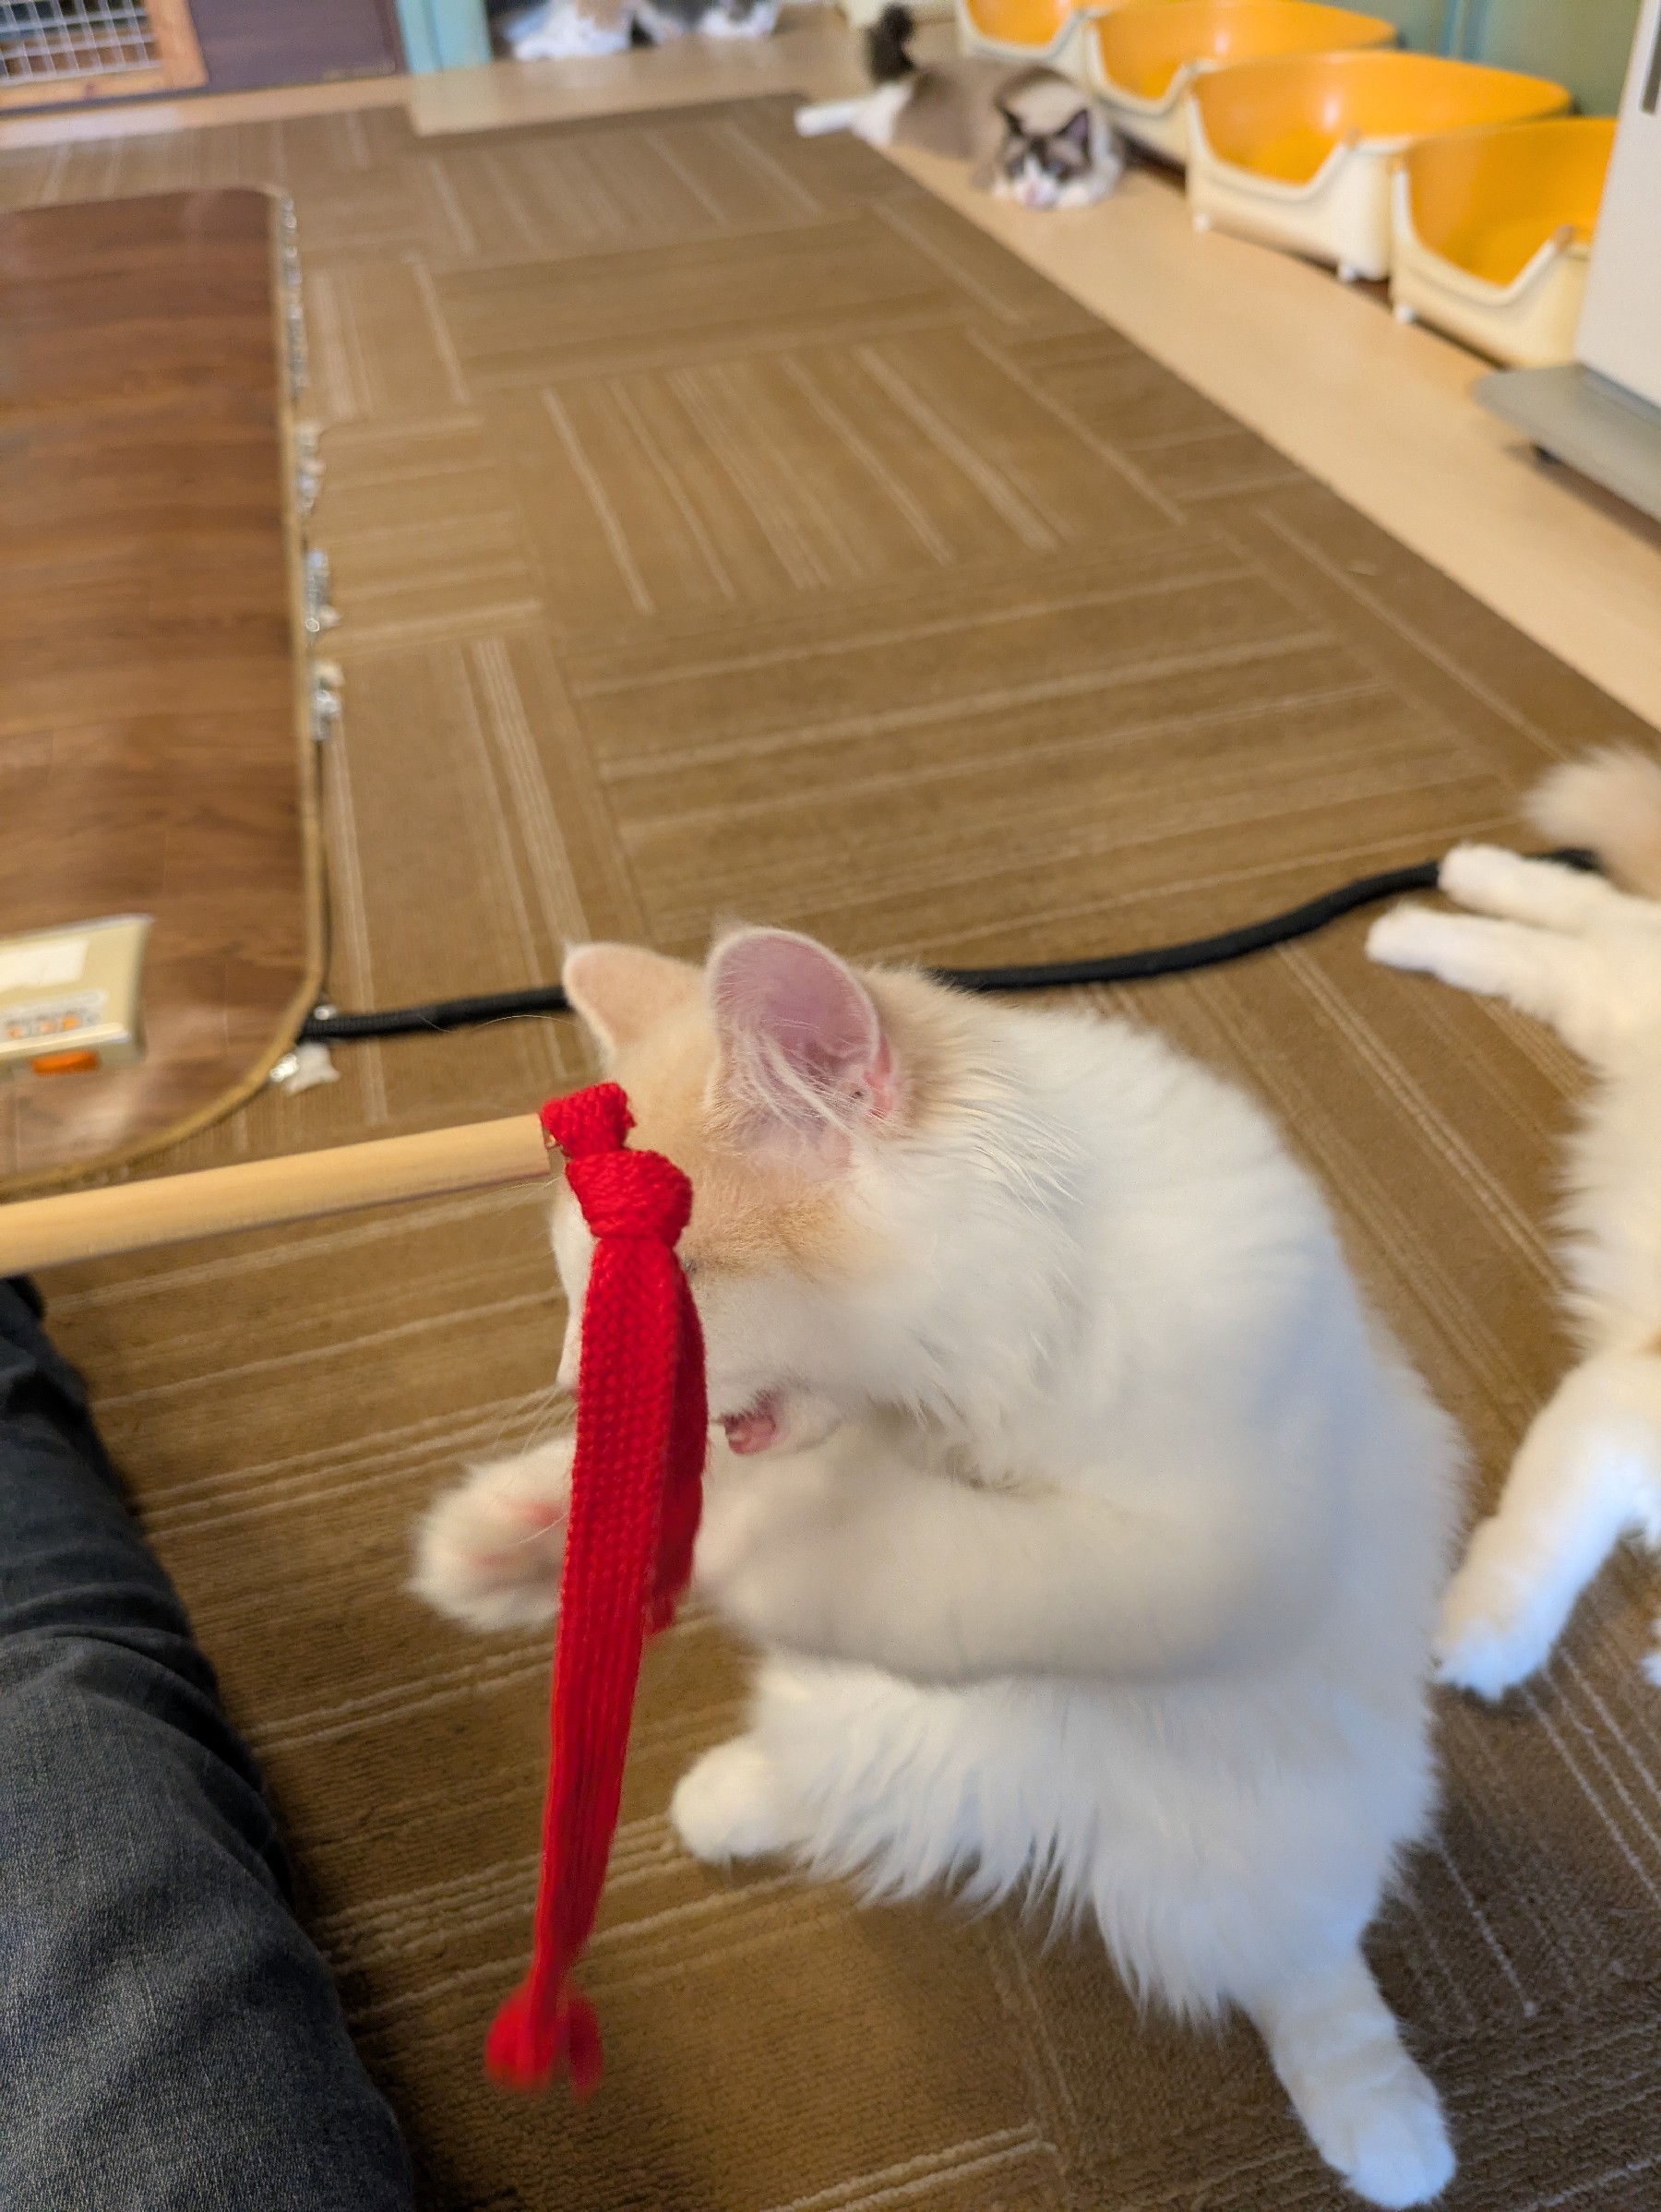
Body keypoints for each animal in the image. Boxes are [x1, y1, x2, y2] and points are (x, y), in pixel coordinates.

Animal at [414, 923, 1461, 2203]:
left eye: (678, 1279)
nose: (570, 1377)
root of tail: (1042, 1798)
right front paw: (508, 1532)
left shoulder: (1205, 1554)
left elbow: (944, 1564)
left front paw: (756, 1537)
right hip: (859, 1723)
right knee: (834, 1779)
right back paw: (723, 1798)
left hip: (1264, 1864)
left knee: (1310, 1973)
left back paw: (1387, 2132)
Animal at [795, 5, 1124, 212]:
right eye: (1018, 168)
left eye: (1054, 167)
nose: (1031, 192)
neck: (1047, 108)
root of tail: (920, 74)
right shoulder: (992, 176)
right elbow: (1073, 194)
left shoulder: (1110, 159)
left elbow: (1095, 183)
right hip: (883, 124)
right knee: (862, 110)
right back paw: (807, 120)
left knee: (866, 101)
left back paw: (806, 120)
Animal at [1369, 746, 1661, 1699]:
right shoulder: (1613, 1411)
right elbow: (1536, 1552)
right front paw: (1484, 1640)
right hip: (1617, 990)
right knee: (1572, 915)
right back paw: (1428, 906)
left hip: (1606, 1007)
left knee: (1560, 939)